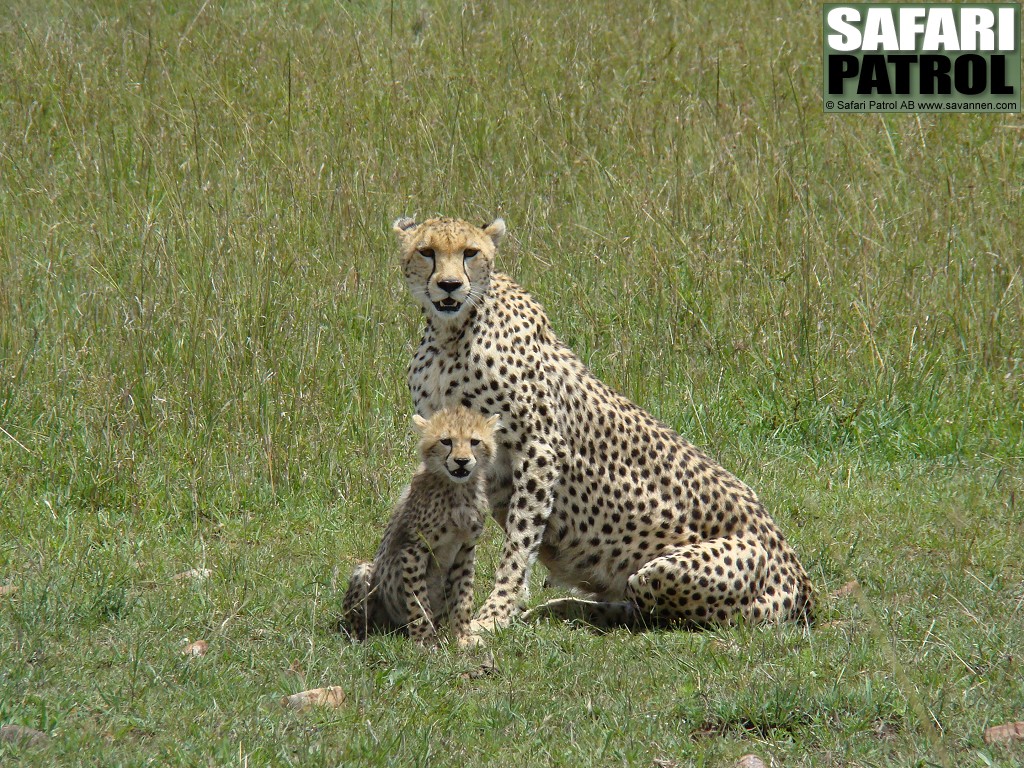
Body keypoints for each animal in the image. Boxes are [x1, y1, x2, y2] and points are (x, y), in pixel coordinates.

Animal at [339, 405, 499, 647]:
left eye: (474, 442)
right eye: (446, 441)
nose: (462, 461)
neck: (457, 490)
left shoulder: (466, 548)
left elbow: (463, 596)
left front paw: (462, 637)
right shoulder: (415, 548)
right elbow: (418, 598)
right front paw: (424, 640)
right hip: (365, 573)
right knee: (361, 621)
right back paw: (363, 639)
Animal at [393, 215, 815, 630]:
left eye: (470, 252)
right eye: (427, 252)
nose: (450, 285)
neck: (450, 333)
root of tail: (802, 580)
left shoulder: (539, 447)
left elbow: (519, 539)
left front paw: (494, 614)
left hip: (670, 572)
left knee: (658, 609)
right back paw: (560, 608)